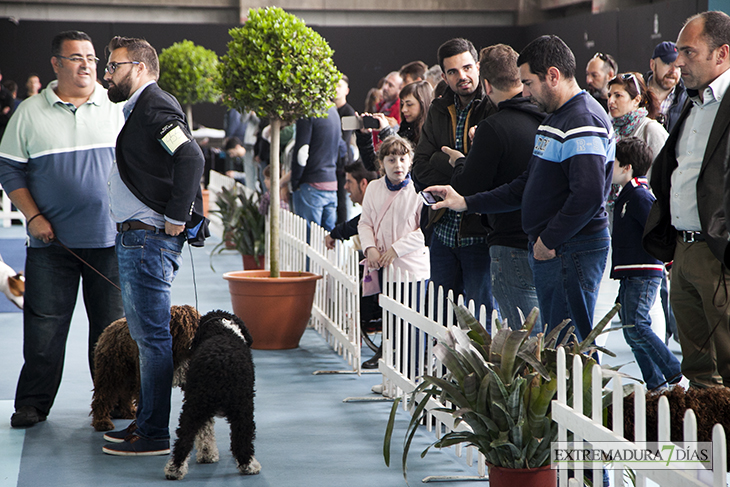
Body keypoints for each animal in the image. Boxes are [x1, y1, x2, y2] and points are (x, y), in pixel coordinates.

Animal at [164, 310, 260, 478]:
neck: (222, 330)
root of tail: (220, 363)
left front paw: (207, 455)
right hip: (241, 407)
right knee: (242, 438)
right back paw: (249, 465)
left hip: (196, 405)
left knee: (184, 437)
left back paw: (175, 470)